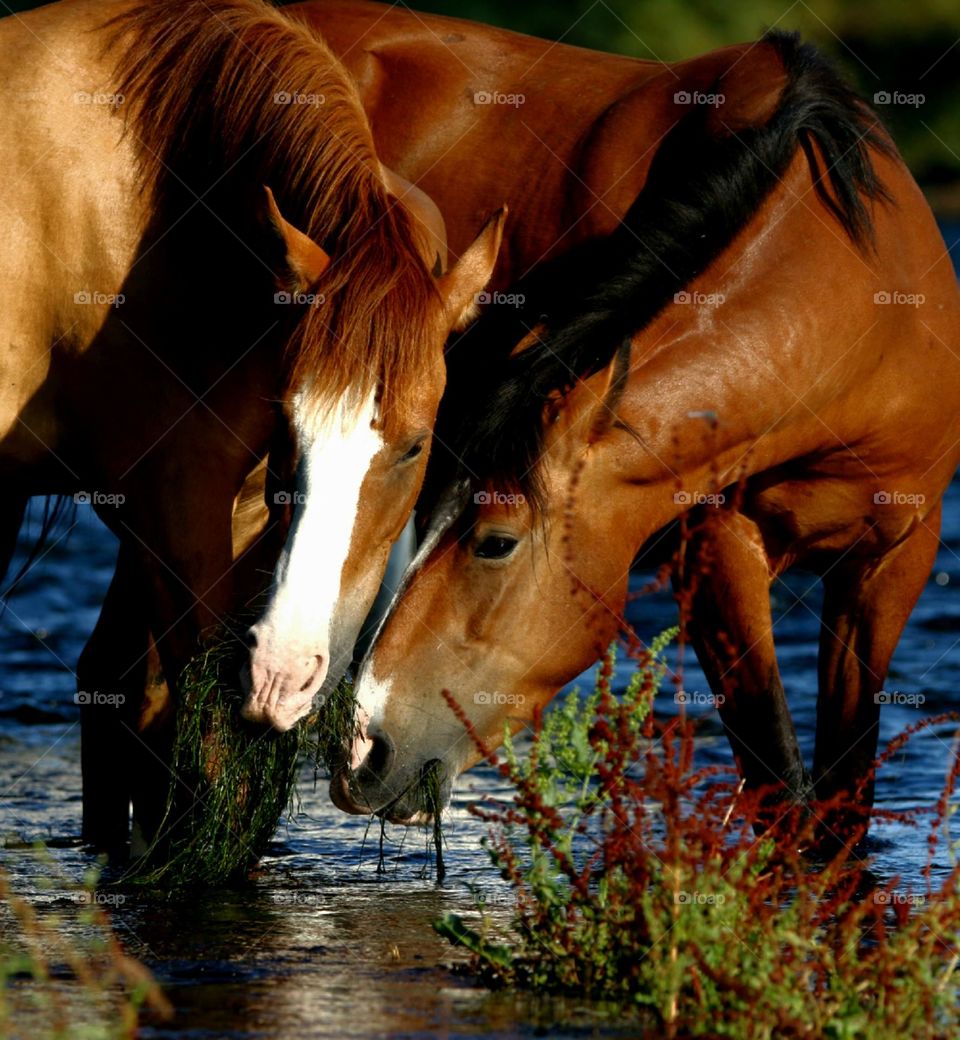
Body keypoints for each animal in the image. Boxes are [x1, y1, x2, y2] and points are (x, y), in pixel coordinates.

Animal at [0, 0, 501, 850]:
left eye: (413, 447)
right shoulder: (170, 504)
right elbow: (204, 761)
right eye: (290, 428)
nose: (283, 677)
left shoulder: (234, 513)